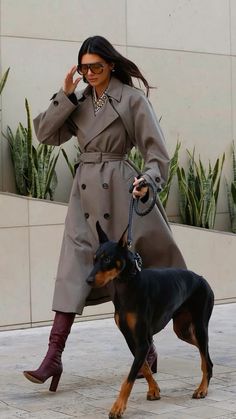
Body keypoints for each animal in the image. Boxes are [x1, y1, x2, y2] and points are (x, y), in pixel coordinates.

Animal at [86, 221, 214, 418]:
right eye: (94, 259)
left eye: (107, 259)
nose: (88, 280)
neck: (128, 285)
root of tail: (203, 280)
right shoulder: (132, 339)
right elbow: (144, 367)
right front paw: (154, 390)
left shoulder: (142, 341)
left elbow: (129, 378)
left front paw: (118, 407)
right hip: (183, 330)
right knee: (206, 354)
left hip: (200, 326)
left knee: (205, 355)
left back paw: (202, 388)